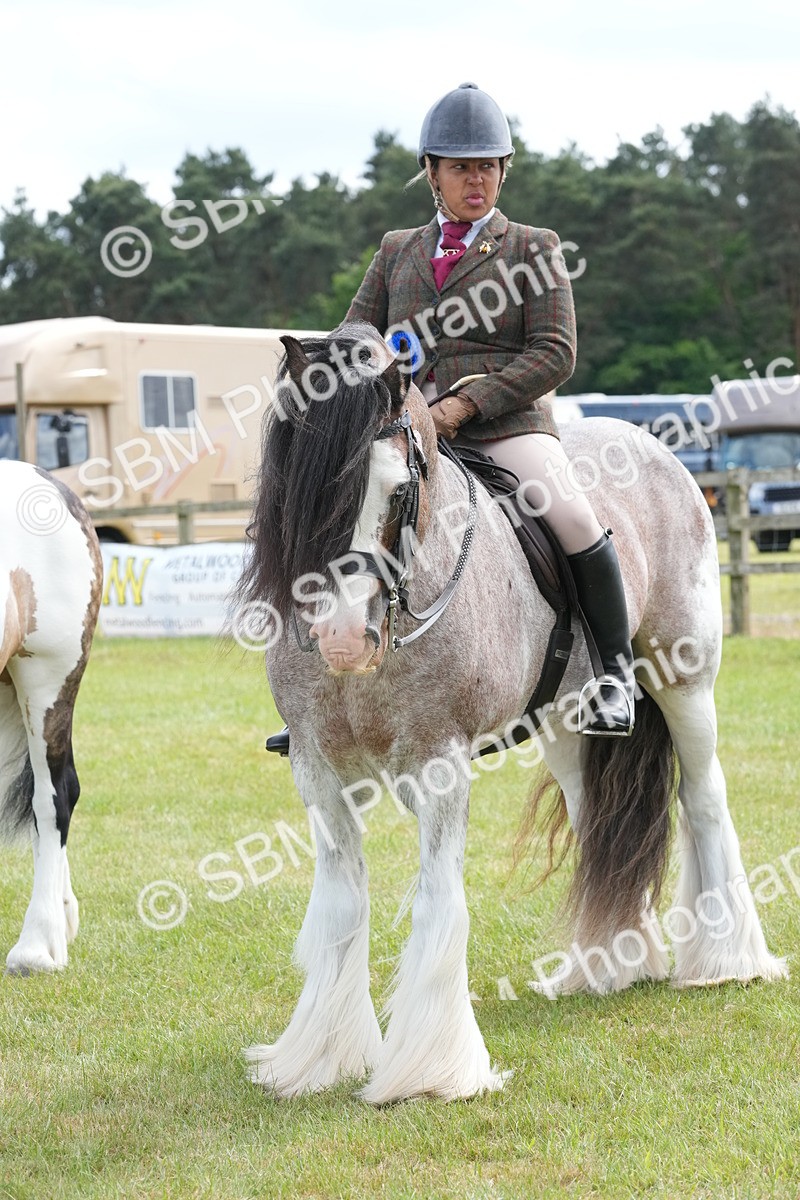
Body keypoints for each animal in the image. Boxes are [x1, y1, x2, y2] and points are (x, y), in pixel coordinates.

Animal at [235, 323, 786, 1104]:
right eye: (297, 489)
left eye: (400, 491)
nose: (343, 639)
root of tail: (652, 446)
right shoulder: (317, 767)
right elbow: (341, 905)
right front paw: (318, 1060)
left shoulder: (439, 762)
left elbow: (439, 900)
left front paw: (431, 1071)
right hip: (564, 722)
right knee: (596, 820)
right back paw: (611, 963)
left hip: (686, 678)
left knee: (705, 799)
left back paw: (726, 960)